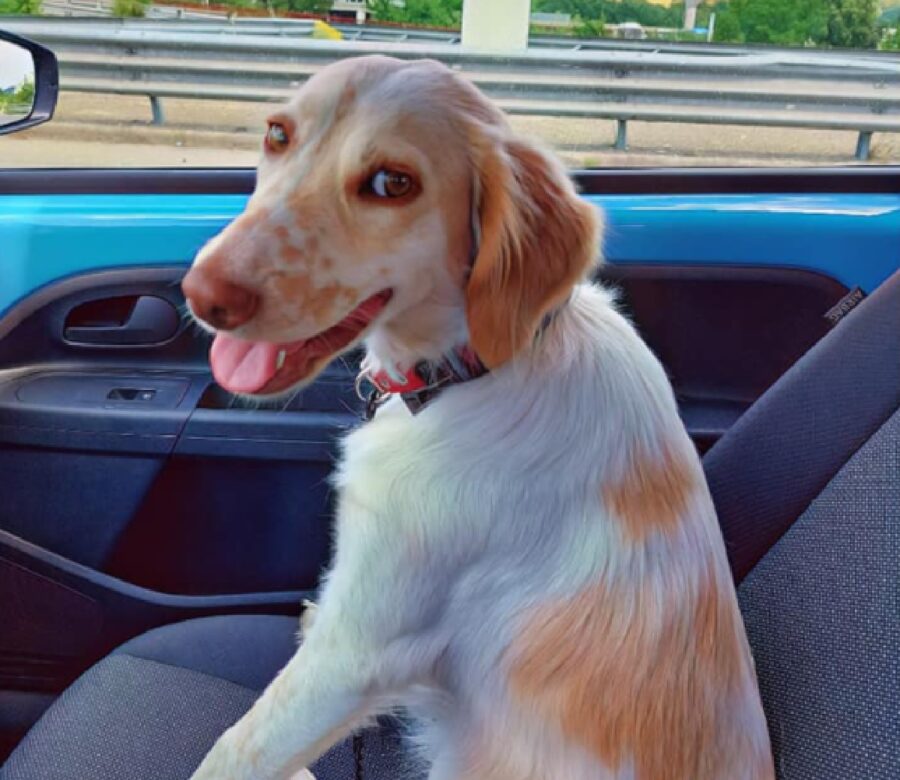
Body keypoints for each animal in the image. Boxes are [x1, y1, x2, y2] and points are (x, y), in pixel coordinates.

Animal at [183, 54, 772, 780]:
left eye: (392, 183)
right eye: (276, 135)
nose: (202, 294)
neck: (474, 371)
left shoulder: (359, 651)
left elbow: (230, 750)